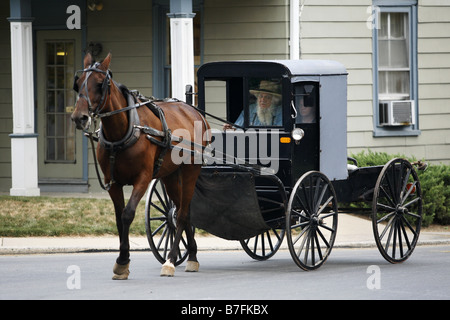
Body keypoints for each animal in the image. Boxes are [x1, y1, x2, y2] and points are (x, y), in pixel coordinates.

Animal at [71, 53, 209, 280]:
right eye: (78, 84)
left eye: (100, 84)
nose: (79, 117)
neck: (122, 132)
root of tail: (194, 111)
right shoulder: (113, 182)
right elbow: (119, 219)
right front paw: (122, 261)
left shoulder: (142, 179)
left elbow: (128, 214)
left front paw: (123, 261)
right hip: (170, 174)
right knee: (181, 210)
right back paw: (192, 256)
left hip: (191, 169)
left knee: (181, 214)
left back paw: (171, 260)